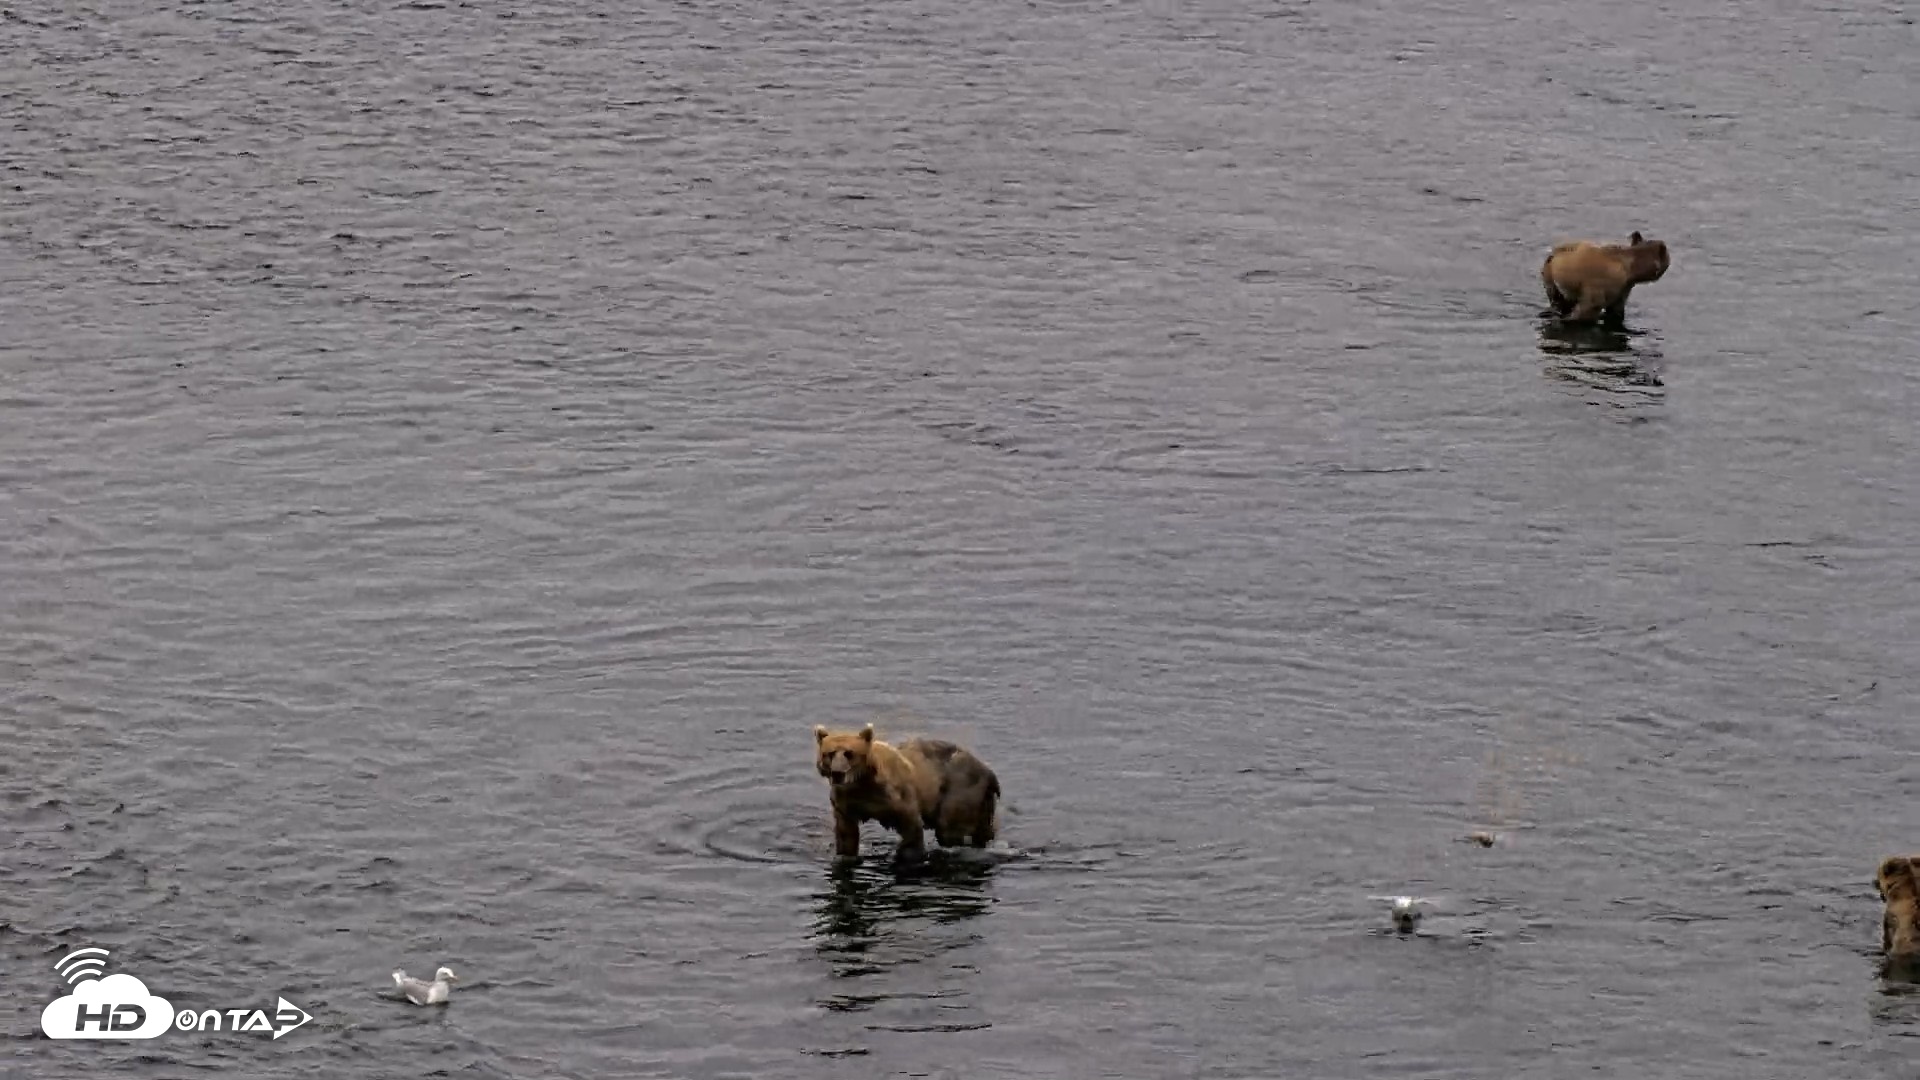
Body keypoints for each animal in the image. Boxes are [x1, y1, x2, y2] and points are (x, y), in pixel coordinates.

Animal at [812, 723, 1000, 863]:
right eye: (829, 753)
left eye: (849, 753)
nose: (838, 772)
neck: (863, 783)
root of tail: (989, 771)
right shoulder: (845, 802)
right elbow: (846, 834)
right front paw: (845, 855)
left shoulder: (897, 796)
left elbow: (911, 826)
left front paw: (907, 854)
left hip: (960, 788)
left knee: (949, 829)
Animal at [1540, 231, 1671, 326]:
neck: (1631, 268)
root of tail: (1555, 257)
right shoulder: (1607, 282)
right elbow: (1590, 308)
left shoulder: (1624, 287)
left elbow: (1615, 309)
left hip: (1549, 276)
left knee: (1557, 298)